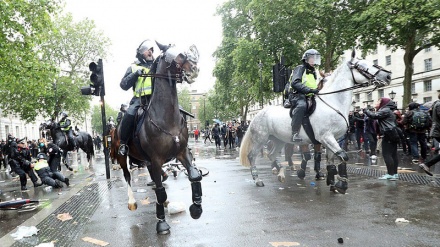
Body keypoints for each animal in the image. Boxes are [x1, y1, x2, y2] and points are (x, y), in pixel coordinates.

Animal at [114, 41, 202, 234]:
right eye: (178, 55)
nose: (194, 69)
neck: (167, 119)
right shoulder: (156, 159)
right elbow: (160, 191)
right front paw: (161, 222)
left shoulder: (182, 152)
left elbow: (194, 176)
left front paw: (196, 207)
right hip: (121, 156)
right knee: (128, 176)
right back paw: (132, 202)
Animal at [241, 49, 392, 193]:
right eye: (361, 66)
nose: (388, 76)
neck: (333, 103)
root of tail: (257, 114)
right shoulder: (325, 137)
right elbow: (343, 156)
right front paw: (342, 184)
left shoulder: (333, 139)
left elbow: (331, 161)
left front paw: (332, 183)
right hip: (261, 138)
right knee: (252, 155)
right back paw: (258, 179)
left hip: (279, 139)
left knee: (271, 154)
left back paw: (281, 173)